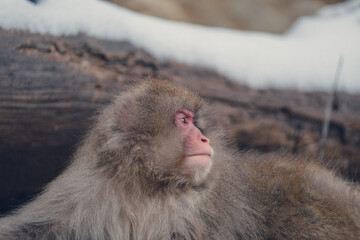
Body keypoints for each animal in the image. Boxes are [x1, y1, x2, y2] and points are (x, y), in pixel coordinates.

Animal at [0, 79, 360, 238]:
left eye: (196, 123)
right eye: (183, 120)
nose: (204, 138)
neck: (148, 185)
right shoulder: (86, 192)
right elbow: (37, 228)